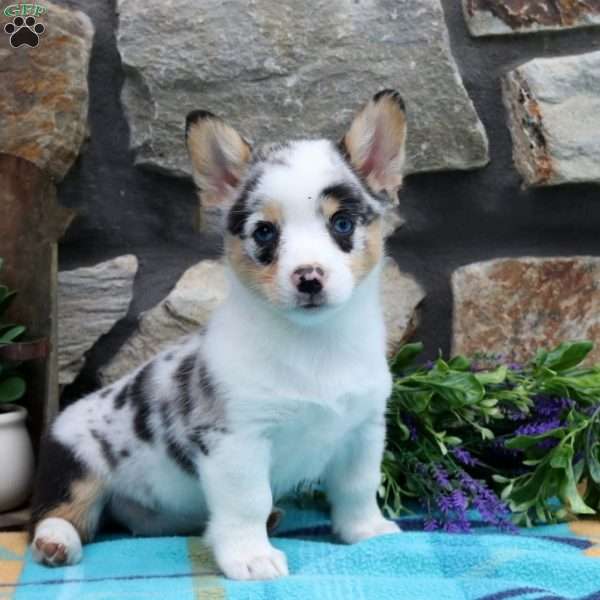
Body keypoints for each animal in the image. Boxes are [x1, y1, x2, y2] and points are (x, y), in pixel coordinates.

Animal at [31, 90, 408, 580]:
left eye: (342, 224)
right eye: (264, 232)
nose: (309, 278)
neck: (314, 344)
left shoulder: (362, 430)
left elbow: (358, 488)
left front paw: (367, 532)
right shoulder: (236, 441)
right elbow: (248, 503)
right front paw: (251, 557)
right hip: (75, 463)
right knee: (60, 512)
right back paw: (56, 543)